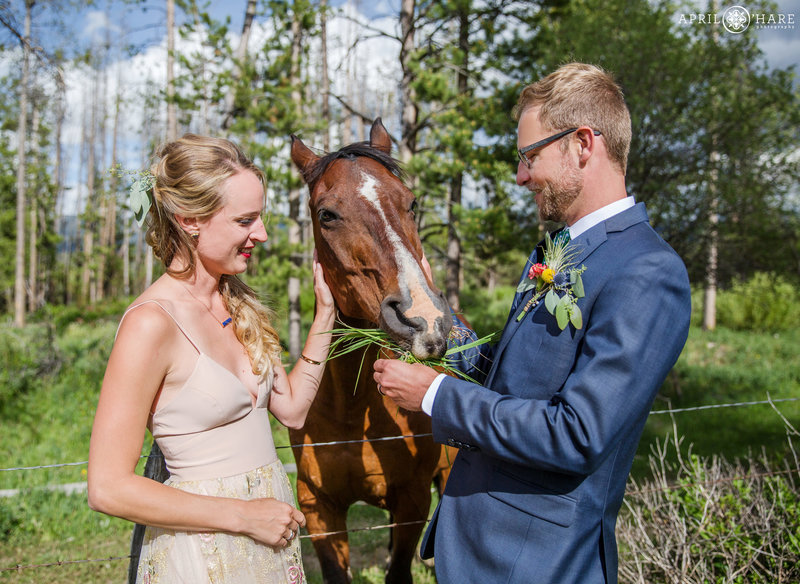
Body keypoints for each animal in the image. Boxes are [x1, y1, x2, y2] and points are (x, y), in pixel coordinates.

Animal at [288, 120, 454, 584]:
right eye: (326, 214)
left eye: (411, 203)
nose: (424, 320)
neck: (349, 409)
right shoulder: (319, 511)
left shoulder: (411, 502)